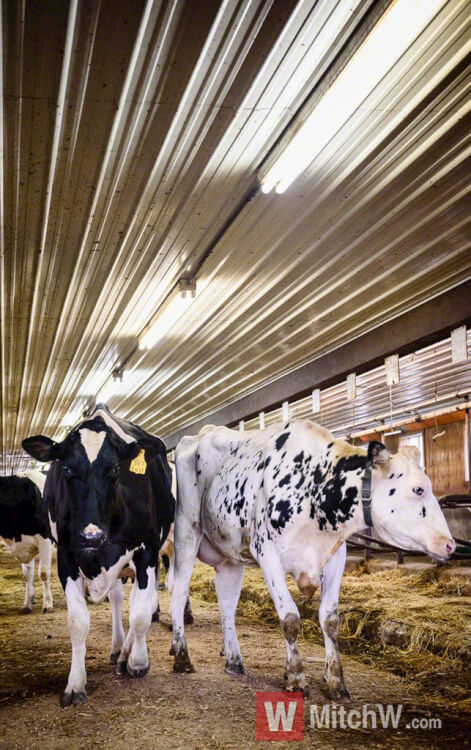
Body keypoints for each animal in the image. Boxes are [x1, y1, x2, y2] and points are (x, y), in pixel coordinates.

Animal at [0, 472, 54, 612]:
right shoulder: (24, 547)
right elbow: (26, 576)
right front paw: (26, 604)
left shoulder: (46, 539)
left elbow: (43, 573)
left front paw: (48, 604)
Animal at [22, 406, 175, 704]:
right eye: (66, 469)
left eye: (115, 469)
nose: (91, 536)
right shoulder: (66, 556)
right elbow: (77, 622)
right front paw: (75, 684)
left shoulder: (147, 551)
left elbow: (140, 613)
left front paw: (139, 662)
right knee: (116, 599)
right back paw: (118, 648)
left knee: (142, 601)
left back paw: (127, 654)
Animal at [171, 424, 456, 700]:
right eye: (418, 489)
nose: (450, 544)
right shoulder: (266, 552)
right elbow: (290, 618)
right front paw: (296, 677)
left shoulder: (335, 557)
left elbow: (330, 620)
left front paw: (336, 681)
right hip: (186, 530)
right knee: (179, 590)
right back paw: (181, 656)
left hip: (232, 555)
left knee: (227, 605)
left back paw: (233, 660)